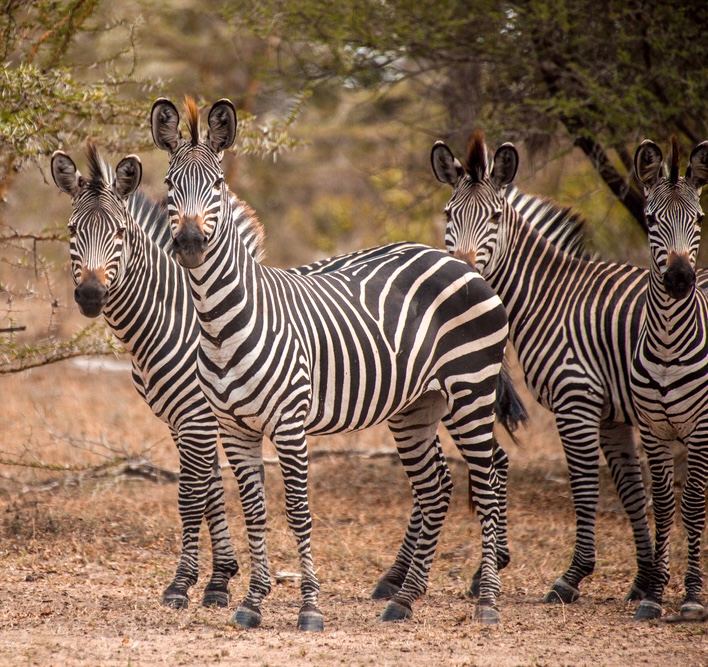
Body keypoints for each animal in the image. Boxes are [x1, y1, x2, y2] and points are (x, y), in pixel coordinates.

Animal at [49, 142, 266, 612]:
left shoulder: (198, 417)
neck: (173, 321)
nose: (90, 295)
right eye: (72, 230)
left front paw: (182, 584)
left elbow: (191, 495)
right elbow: (211, 490)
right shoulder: (179, 420)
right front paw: (220, 580)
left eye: (121, 233)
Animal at [151, 96, 516, 628]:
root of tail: (459, 262)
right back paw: (404, 599)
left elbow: (299, 512)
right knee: (434, 489)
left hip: (472, 390)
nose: (192, 245)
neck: (220, 322)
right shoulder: (234, 428)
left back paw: (487, 601)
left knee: (486, 483)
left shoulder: (288, 423)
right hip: (416, 406)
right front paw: (252, 603)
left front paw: (309, 608)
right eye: (168, 184)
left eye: (217, 185)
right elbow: (255, 511)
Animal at [432, 129, 664, 604]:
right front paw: (644, 580)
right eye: (448, 213)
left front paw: (573, 577)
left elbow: (585, 485)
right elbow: (632, 491)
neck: (552, 295)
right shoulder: (613, 411)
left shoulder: (577, 400)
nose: (460, 280)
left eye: (495, 216)